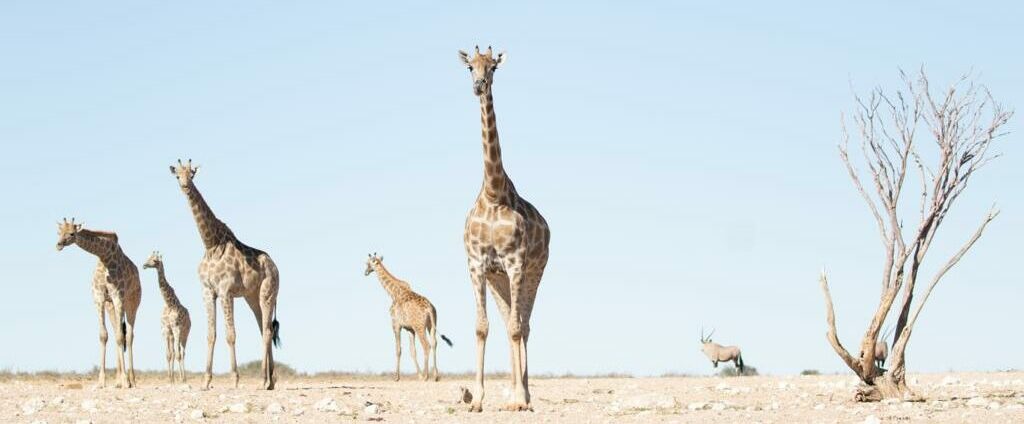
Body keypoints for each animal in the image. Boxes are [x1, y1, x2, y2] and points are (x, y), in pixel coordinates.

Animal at [56, 218, 142, 387]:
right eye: (59, 232)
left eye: (72, 233)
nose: (58, 244)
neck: (104, 257)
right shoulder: (99, 298)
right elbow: (104, 335)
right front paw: (102, 381)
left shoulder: (117, 296)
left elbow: (121, 337)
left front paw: (125, 381)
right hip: (111, 307)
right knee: (118, 333)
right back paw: (118, 381)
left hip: (132, 302)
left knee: (129, 336)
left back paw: (132, 380)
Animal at [142, 249, 192, 383]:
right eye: (148, 257)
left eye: (155, 260)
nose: (144, 265)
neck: (169, 304)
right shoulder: (165, 330)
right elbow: (169, 355)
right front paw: (170, 378)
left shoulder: (176, 328)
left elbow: (178, 355)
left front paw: (180, 378)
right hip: (173, 336)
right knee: (175, 352)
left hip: (184, 334)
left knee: (182, 353)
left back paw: (184, 377)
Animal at [168, 159, 282, 391]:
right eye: (177, 176)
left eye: (192, 174)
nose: (185, 186)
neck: (211, 244)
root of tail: (276, 268)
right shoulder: (207, 292)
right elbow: (211, 334)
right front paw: (205, 380)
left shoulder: (225, 291)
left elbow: (231, 335)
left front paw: (235, 379)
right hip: (252, 297)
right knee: (264, 329)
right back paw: (270, 380)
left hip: (268, 293)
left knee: (267, 331)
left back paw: (262, 380)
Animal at [364, 252, 452, 383]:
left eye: (368, 263)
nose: (365, 272)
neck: (393, 293)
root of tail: (429, 309)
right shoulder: (410, 329)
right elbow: (412, 351)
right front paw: (418, 375)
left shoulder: (396, 325)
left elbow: (398, 349)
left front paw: (396, 377)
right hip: (432, 325)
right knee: (434, 343)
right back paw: (435, 376)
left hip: (420, 327)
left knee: (426, 345)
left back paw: (426, 376)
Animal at [458, 45, 552, 411]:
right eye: (470, 67)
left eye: (493, 67)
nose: (478, 85)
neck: (494, 192)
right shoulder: (477, 265)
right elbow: (482, 327)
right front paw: (477, 399)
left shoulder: (515, 264)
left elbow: (514, 328)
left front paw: (521, 399)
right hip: (498, 280)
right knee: (510, 320)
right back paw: (513, 393)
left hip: (533, 272)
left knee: (523, 325)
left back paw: (523, 395)